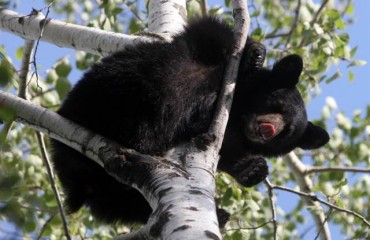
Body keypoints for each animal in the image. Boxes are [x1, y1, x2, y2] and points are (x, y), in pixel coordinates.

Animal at [49, 17, 330, 225]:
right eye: (277, 105)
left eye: (288, 130)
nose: (268, 129)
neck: (238, 110)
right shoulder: (197, 50)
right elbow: (208, 30)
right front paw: (255, 53)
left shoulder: (228, 132)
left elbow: (226, 150)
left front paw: (251, 169)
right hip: (112, 88)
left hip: (105, 188)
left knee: (128, 201)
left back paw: (217, 212)